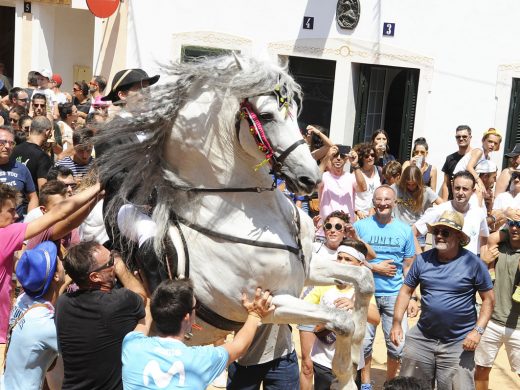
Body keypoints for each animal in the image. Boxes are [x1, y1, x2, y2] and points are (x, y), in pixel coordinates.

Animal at [96, 55, 374, 390]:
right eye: (266, 115)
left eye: (294, 112)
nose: (311, 179)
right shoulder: (265, 303)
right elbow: (340, 319)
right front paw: (344, 374)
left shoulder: (307, 271)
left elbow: (363, 279)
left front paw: (355, 354)